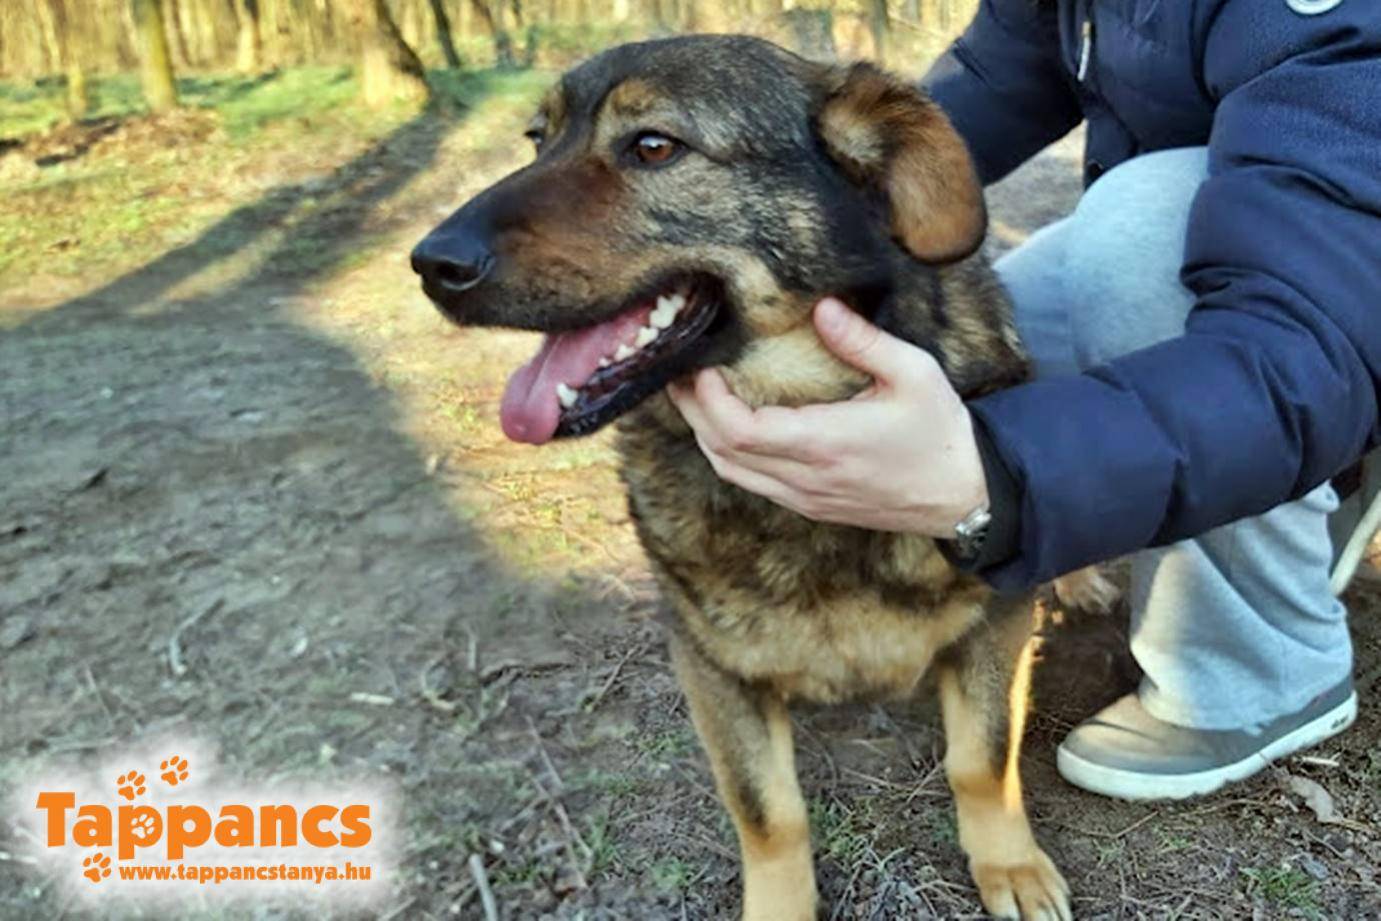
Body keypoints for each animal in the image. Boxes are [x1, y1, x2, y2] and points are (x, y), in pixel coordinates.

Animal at [412, 35, 1073, 921]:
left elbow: (981, 755)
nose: (428, 263)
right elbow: (768, 812)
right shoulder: (711, 664)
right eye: (535, 139)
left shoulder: (995, 617)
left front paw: (1009, 866)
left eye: (653, 146)